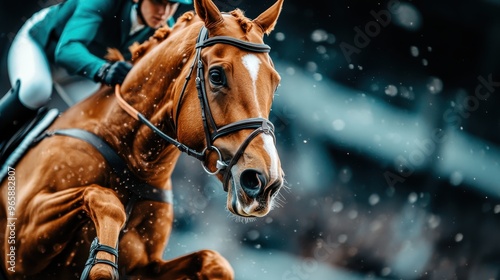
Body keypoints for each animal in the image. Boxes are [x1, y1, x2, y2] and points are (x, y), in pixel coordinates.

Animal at [0, 0, 286, 278]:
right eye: (216, 75)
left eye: (275, 82)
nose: (264, 182)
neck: (136, 165)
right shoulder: (23, 241)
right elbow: (105, 200)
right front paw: (102, 267)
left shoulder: (144, 267)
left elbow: (214, 262)